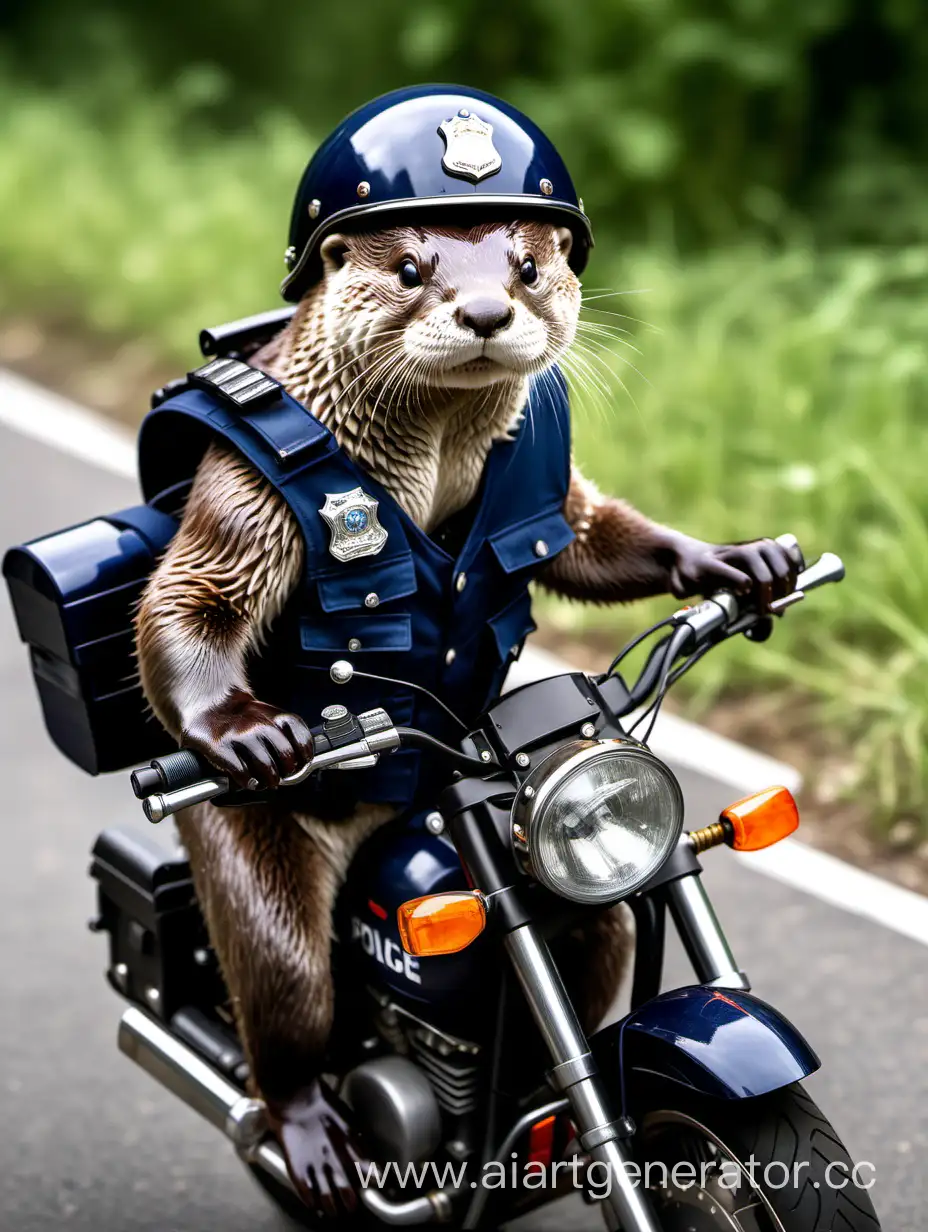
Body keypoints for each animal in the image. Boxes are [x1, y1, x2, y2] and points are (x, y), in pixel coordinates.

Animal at [135, 219, 798, 1212]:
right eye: (408, 268)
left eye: (529, 266)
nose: (488, 313)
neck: (441, 428)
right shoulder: (248, 491)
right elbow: (195, 592)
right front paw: (237, 730)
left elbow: (579, 529)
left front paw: (729, 564)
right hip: (257, 882)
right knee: (284, 1001)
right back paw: (304, 1135)